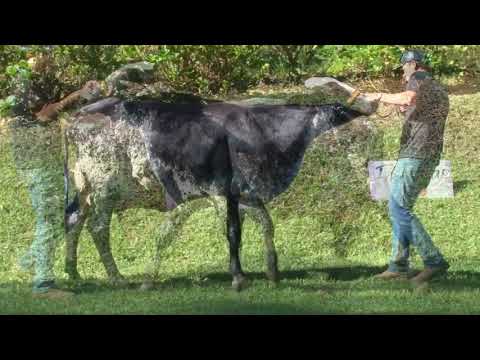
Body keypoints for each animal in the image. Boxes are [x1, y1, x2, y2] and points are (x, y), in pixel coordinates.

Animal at [63, 97, 364, 290]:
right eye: (343, 112)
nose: (367, 115)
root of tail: (77, 116)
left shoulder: (245, 194)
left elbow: (265, 224)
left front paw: (271, 271)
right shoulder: (221, 192)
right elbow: (232, 232)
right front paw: (239, 277)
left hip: (84, 187)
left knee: (73, 220)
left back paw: (73, 272)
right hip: (106, 185)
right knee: (97, 226)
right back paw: (116, 278)